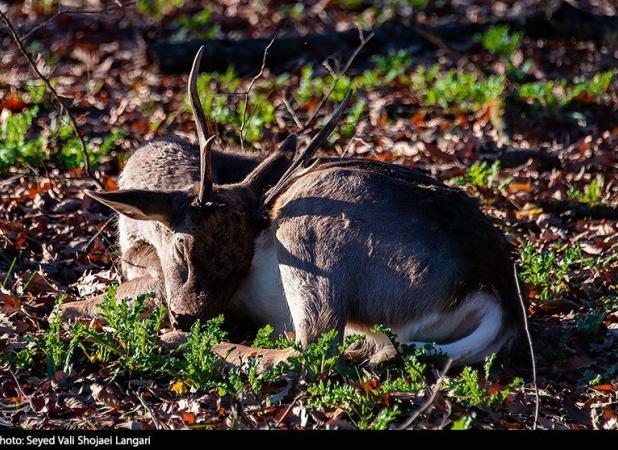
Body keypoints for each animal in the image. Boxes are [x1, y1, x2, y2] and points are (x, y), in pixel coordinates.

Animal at [55, 46, 524, 370]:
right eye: (186, 251)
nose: (188, 318)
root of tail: (495, 295)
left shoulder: (156, 281)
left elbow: (71, 306)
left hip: (310, 229)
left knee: (312, 349)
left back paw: (179, 343)